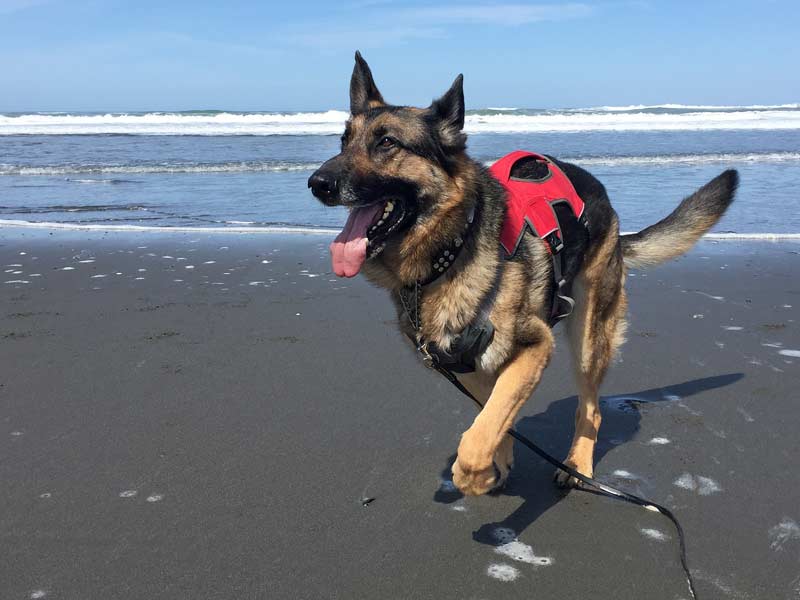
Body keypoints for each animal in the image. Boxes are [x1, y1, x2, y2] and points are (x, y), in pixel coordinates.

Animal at [308, 51, 736, 494]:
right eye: (344, 141)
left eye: (387, 142)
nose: (317, 183)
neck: (451, 252)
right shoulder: (470, 367)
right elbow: (496, 416)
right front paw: (497, 463)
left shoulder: (536, 345)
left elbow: (483, 430)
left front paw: (474, 474)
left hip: (588, 338)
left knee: (592, 409)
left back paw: (577, 464)